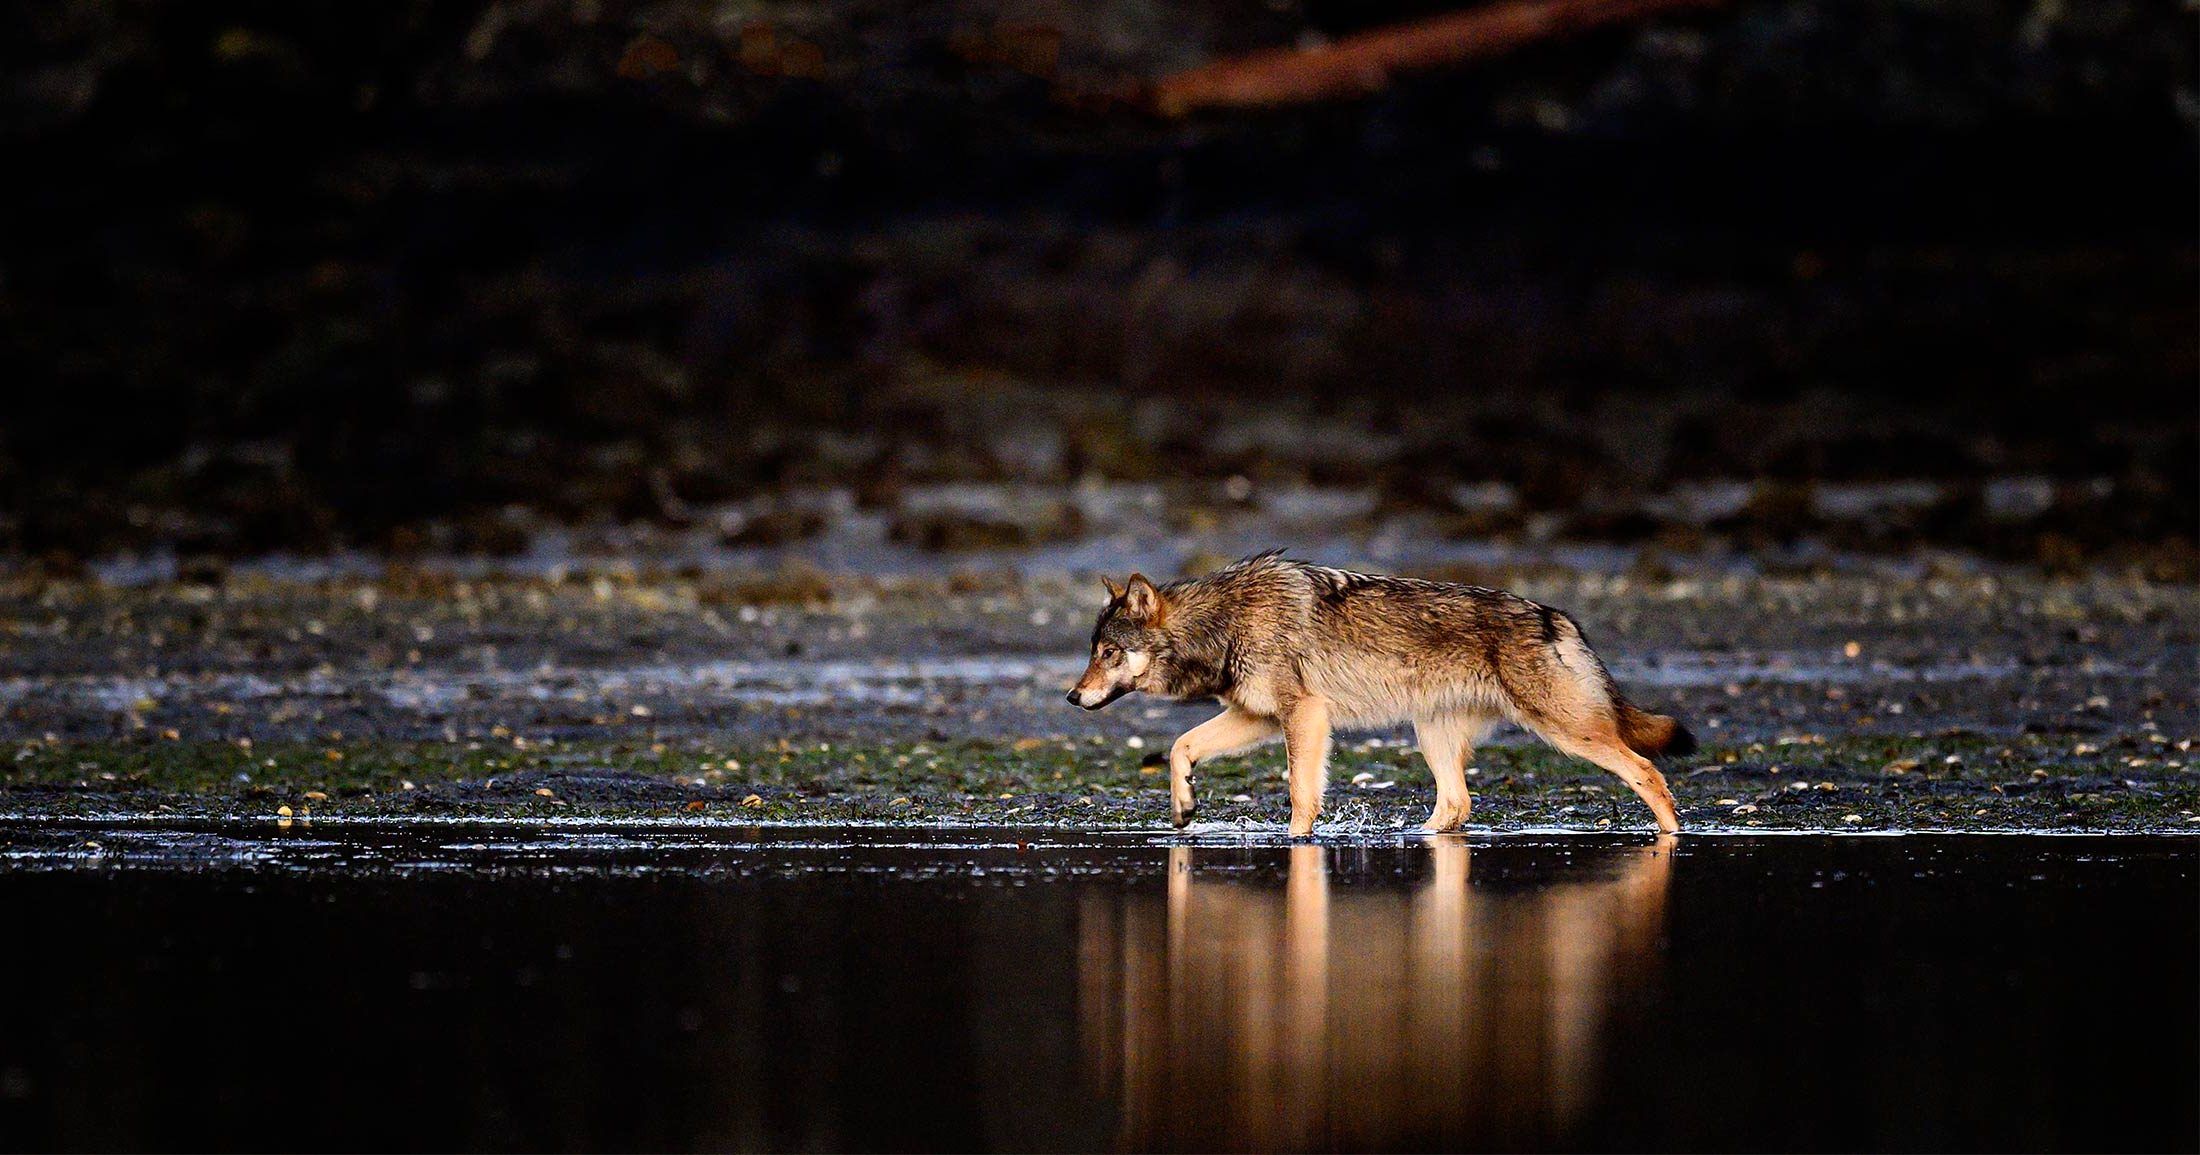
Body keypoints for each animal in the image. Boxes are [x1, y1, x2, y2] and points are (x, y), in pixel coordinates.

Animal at [1069, 552, 1698, 831]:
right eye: (1092, 650)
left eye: (1108, 653)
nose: (1073, 699)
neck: (1224, 622)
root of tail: (1558, 617)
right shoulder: (1259, 719)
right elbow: (1181, 746)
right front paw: (1184, 804)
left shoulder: (1304, 716)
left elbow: (1301, 793)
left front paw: (1297, 844)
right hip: (1432, 735)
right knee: (1456, 804)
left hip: (1569, 733)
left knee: (1649, 772)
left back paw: (1671, 837)